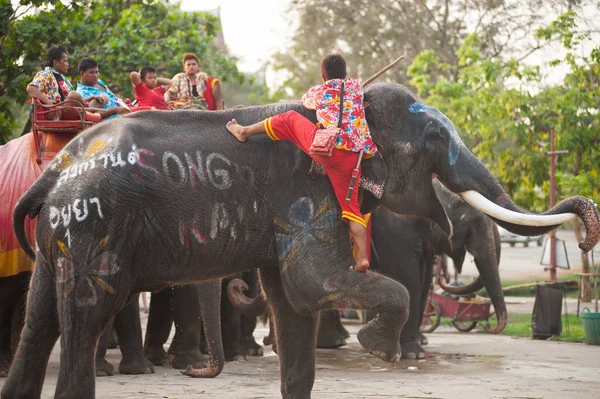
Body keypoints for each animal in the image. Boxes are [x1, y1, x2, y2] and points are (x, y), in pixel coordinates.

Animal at [2, 82, 596, 399]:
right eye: (431, 139)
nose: (587, 232)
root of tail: (53, 170)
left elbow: (293, 301)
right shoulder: (309, 194)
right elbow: (314, 282)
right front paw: (378, 350)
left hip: (61, 240)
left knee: (41, 319)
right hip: (90, 229)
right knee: (83, 317)